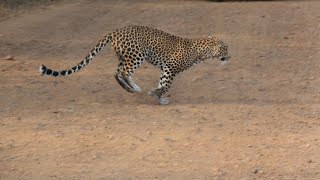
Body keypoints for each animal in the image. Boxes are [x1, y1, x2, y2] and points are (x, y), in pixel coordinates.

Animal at [39, 24, 230, 105]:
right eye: (225, 48)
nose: (230, 56)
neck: (202, 51)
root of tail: (116, 31)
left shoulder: (166, 69)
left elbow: (162, 83)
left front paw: (158, 98)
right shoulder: (170, 68)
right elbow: (165, 85)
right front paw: (157, 94)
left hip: (125, 57)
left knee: (116, 72)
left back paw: (131, 88)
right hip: (136, 56)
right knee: (123, 72)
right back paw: (135, 88)